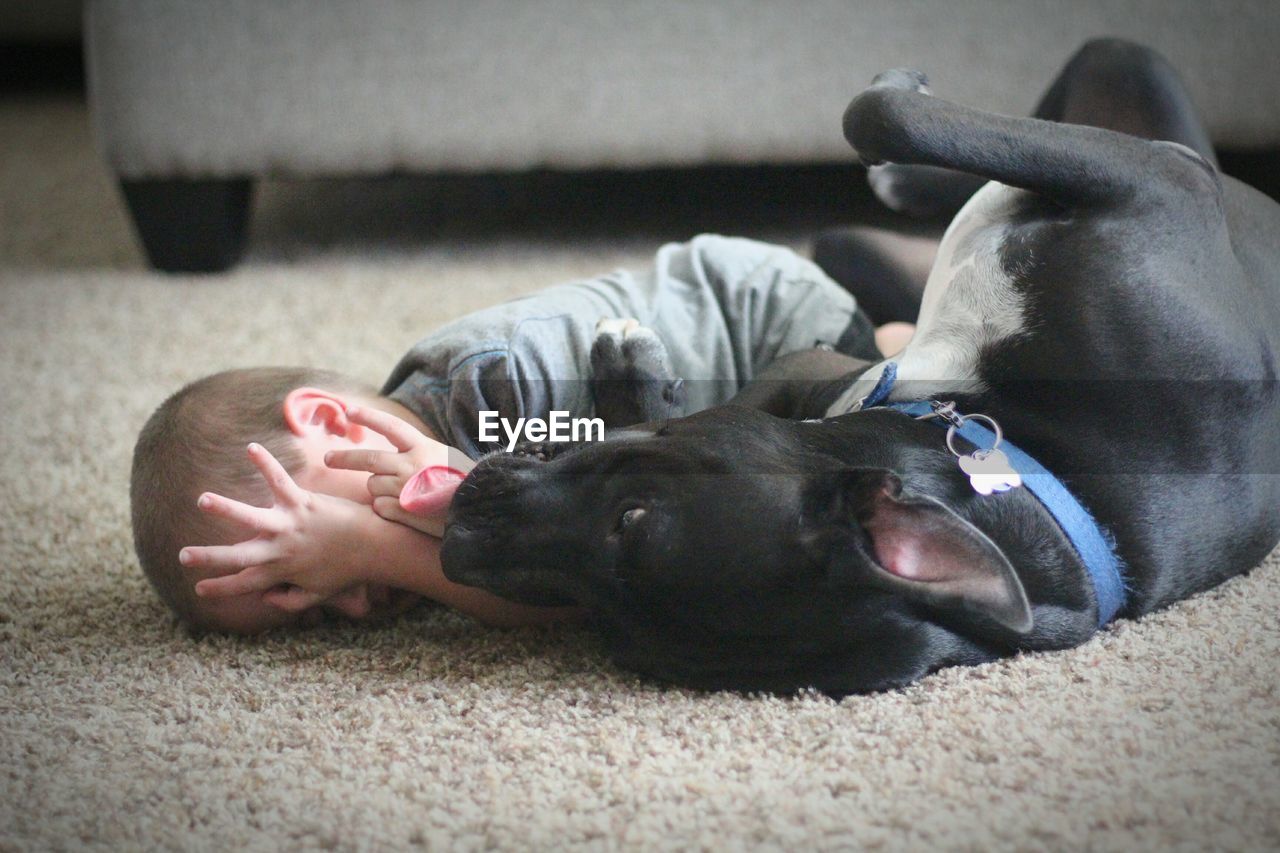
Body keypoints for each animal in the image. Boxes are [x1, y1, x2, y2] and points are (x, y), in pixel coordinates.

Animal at [437, 36, 1280, 696]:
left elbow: (879, 112)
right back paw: (910, 181)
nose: (458, 533)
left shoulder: (1157, 178)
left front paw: (625, 372)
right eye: (604, 623)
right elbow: (895, 118)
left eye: (630, 519)